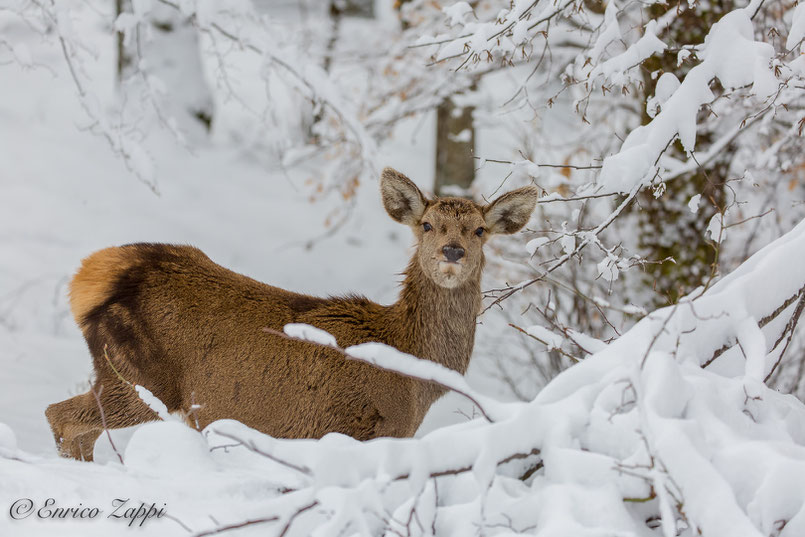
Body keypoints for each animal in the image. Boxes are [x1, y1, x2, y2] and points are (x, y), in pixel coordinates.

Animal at [42, 165, 532, 458]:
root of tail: (89, 277)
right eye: (427, 224)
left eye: (480, 230)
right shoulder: (358, 431)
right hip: (138, 375)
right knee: (60, 416)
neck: (413, 379)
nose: (452, 251)